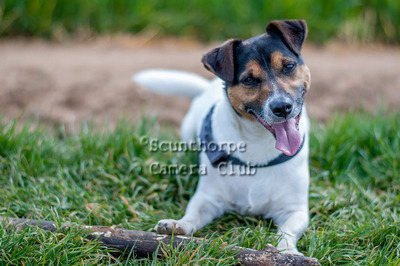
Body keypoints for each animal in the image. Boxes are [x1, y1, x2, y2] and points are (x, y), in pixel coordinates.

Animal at [133, 19, 310, 255]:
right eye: (249, 79)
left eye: (289, 66)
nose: (282, 107)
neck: (259, 143)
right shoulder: (208, 199)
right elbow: (193, 215)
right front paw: (178, 225)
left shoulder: (295, 210)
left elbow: (287, 232)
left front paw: (286, 252)